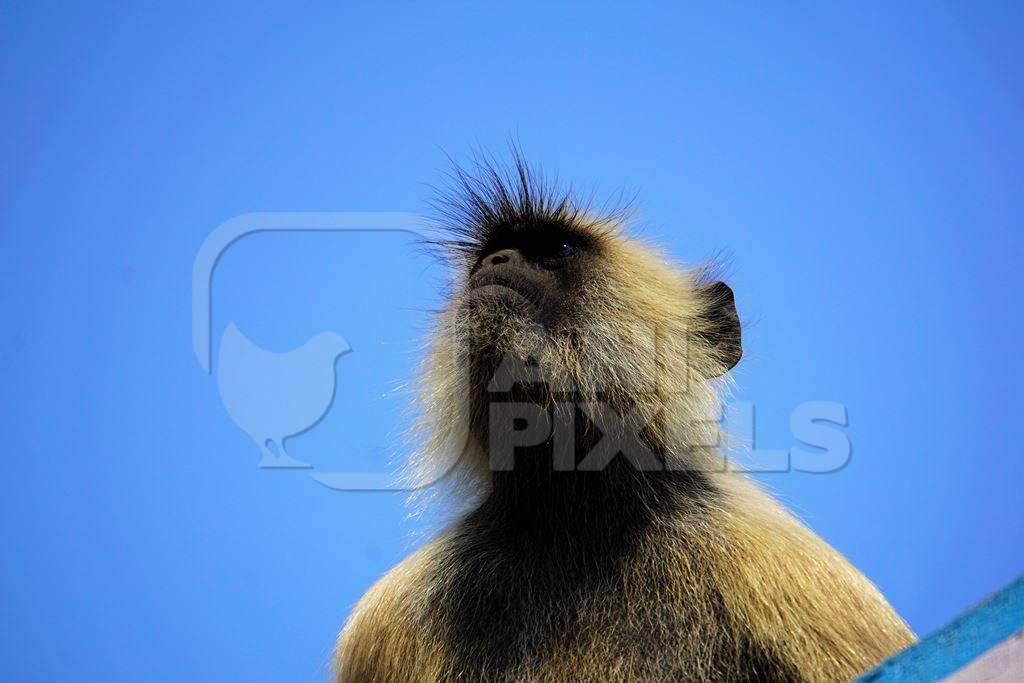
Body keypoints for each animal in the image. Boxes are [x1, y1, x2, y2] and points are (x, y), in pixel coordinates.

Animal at [331, 158, 917, 683]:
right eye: (484, 259)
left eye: (558, 249)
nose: (493, 262)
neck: (571, 515)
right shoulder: (386, 617)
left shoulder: (790, 567)